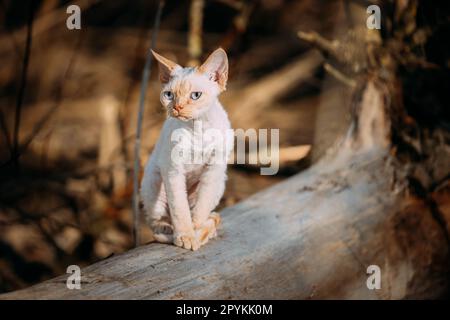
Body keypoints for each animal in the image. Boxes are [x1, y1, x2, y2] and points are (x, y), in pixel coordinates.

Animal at [140, 48, 232, 251]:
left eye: (195, 95)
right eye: (168, 95)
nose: (177, 107)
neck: (199, 129)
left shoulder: (214, 169)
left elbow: (202, 206)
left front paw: (196, 228)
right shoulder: (173, 170)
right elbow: (179, 209)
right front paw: (185, 236)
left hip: (220, 182)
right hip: (153, 181)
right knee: (155, 219)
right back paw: (166, 227)